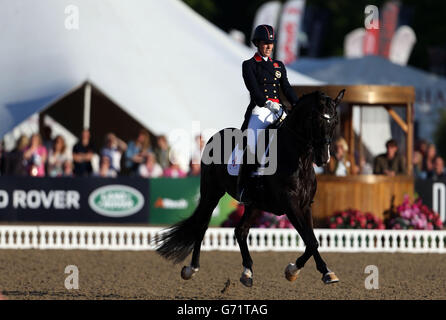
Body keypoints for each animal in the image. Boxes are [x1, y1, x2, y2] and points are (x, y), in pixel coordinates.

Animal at [156, 89, 344, 286]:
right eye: (316, 120)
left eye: (335, 122)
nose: (324, 158)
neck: (298, 159)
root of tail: (215, 136)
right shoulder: (290, 204)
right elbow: (311, 240)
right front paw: (302, 271)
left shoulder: (305, 205)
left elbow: (311, 240)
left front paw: (312, 271)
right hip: (211, 193)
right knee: (201, 226)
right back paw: (191, 269)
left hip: (253, 204)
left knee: (240, 231)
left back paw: (247, 272)